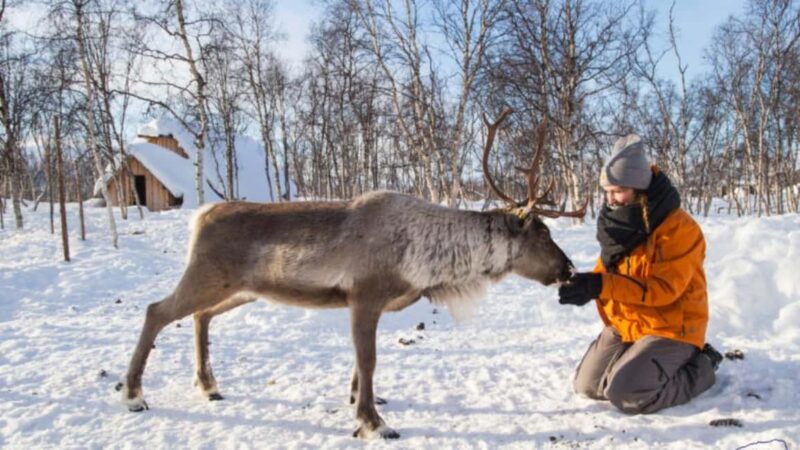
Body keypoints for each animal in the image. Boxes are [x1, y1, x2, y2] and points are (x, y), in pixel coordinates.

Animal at [117, 108, 587, 439]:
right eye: (543, 233)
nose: (568, 269)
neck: (430, 259)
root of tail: (200, 216)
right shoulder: (365, 296)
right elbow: (369, 358)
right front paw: (374, 423)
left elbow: (361, 365)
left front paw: (358, 400)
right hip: (207, 277)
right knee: (156, 310)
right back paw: (134, 395)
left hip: (241, 290)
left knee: (200, 316)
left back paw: (209, 386)